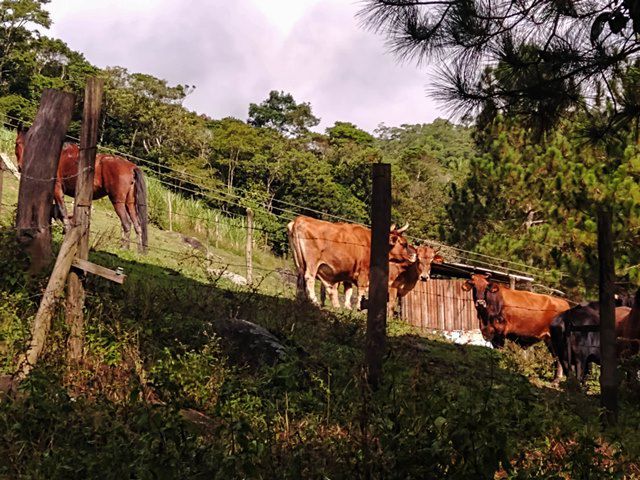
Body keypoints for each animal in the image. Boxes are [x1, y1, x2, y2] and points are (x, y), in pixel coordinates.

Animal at [15, 125, 148, 253]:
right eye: (18, 143)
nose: (21, 167)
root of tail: (131, 166)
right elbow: (57, 211)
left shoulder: (57, 189)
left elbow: (62, 210)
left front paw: (66, 231)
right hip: (130, 204)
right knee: (137, 225)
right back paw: (139, 251)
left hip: (117, 202)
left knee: (127, 223)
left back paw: (124, 248)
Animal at [288, 217, 418, 310]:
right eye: (404, 244)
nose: (414, 255)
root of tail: (300, 219)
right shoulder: (364, 272)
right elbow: (361, 290)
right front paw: (359, 307)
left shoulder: (349, 272)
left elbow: (349, 290)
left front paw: (347, 307)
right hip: (312, 262)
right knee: (309, 277)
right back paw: (314, 301)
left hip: (299, 261)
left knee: (300, 277)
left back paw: (300, 299)